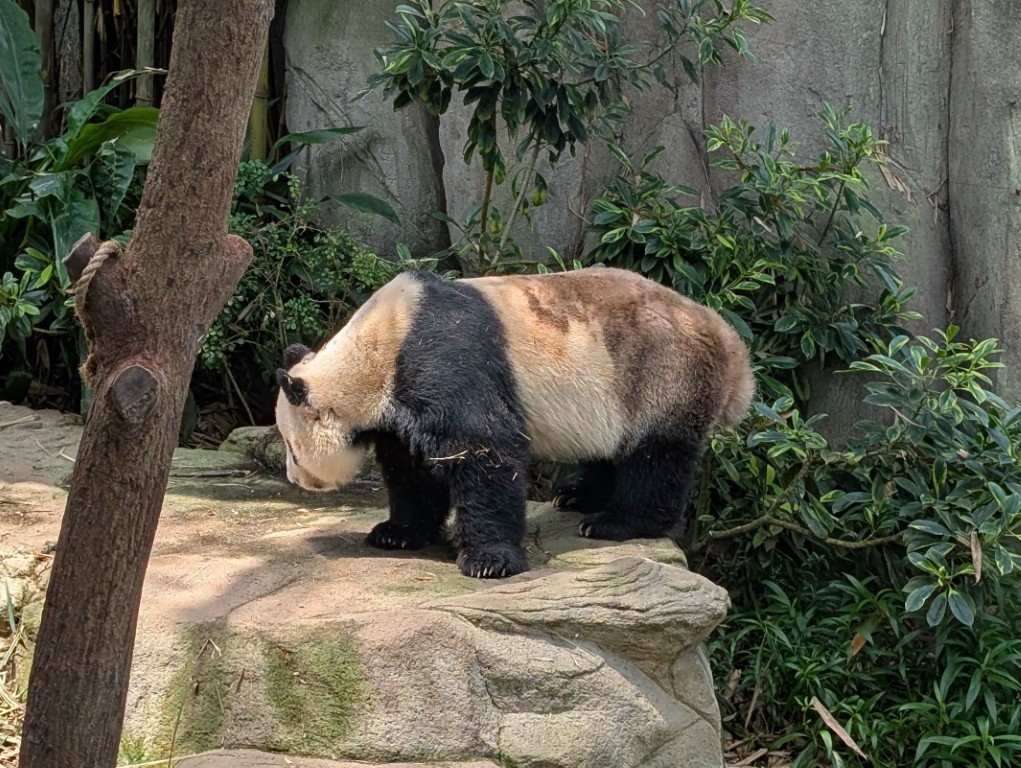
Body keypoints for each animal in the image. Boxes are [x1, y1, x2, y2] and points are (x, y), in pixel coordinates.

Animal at [275, 266, 755, 579]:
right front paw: (397, 533)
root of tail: (733, 350)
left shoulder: (443, 359)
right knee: (609, 448)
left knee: (655, 458)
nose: (295, 479)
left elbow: (486, 447)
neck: (376, 350)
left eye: (292, 448)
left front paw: (489, 562)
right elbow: (411, 471)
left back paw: (616, 523)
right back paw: (577, 497)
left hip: (661, 376)